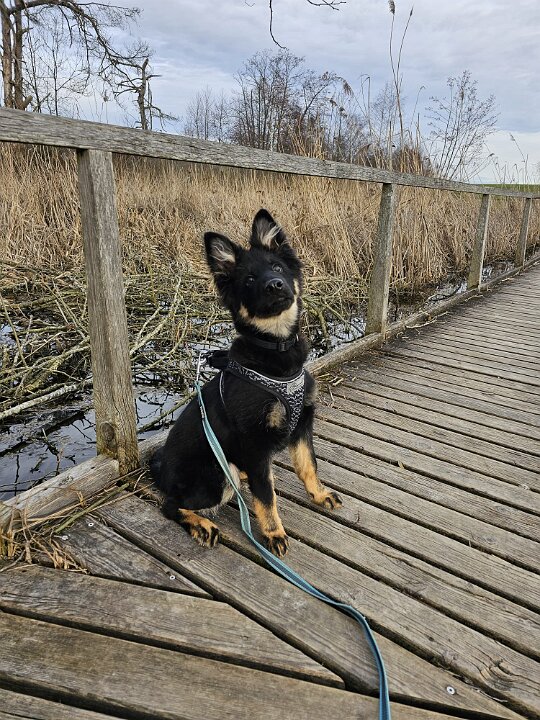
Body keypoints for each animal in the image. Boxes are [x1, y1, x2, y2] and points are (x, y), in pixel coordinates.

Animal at [150, 209, 342, 557]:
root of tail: (161, 471)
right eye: (249, 280)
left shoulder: (302, 425)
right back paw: (202, 525)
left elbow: (309, 465)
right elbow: (266, 495)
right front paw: (274, 533)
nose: (275, 285)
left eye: (277, 268)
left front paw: (319, 495)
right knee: (171, 506)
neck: (275, 352)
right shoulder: (255, 445)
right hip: (217, 476)